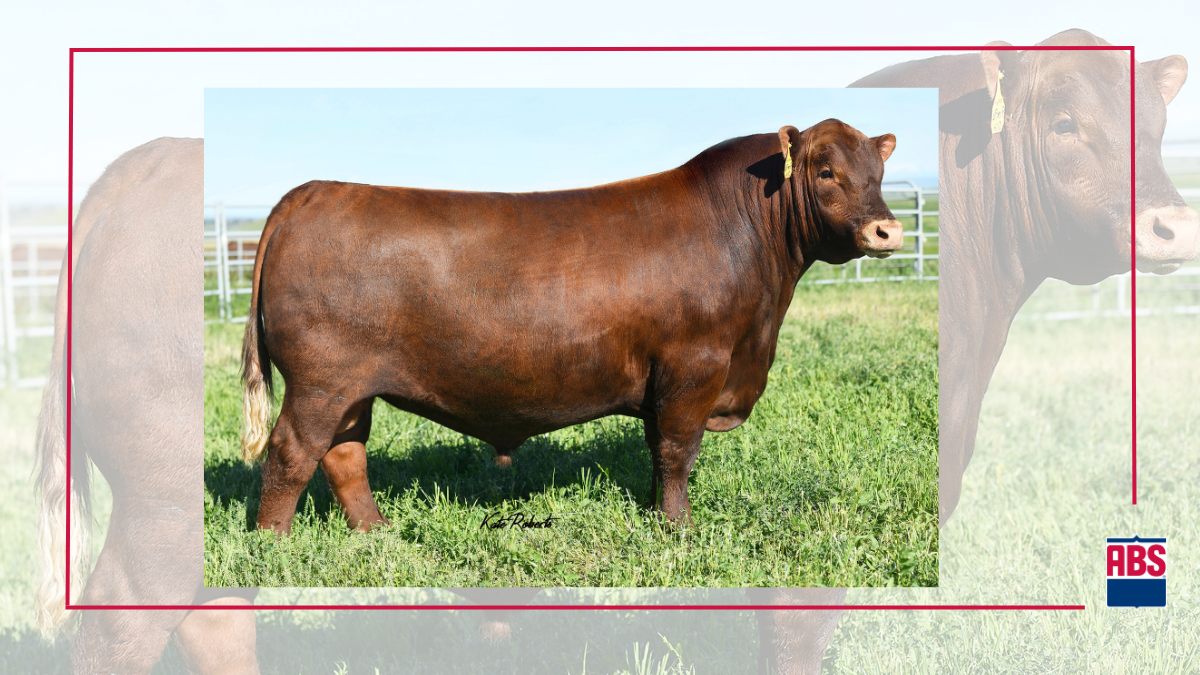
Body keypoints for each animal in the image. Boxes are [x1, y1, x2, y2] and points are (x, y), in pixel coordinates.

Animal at [240, 118, 905, 534]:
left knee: (344, 454)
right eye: (825, 171)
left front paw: (660, 516)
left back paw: (376, 533)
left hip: (351, 388)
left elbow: (656, 449)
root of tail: (309, 193)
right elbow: (676, 451)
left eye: (877, 174)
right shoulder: (694, 366)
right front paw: (679, 528)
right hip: (321, 380)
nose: (887, 229)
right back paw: (275, 545)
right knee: (291, 451)